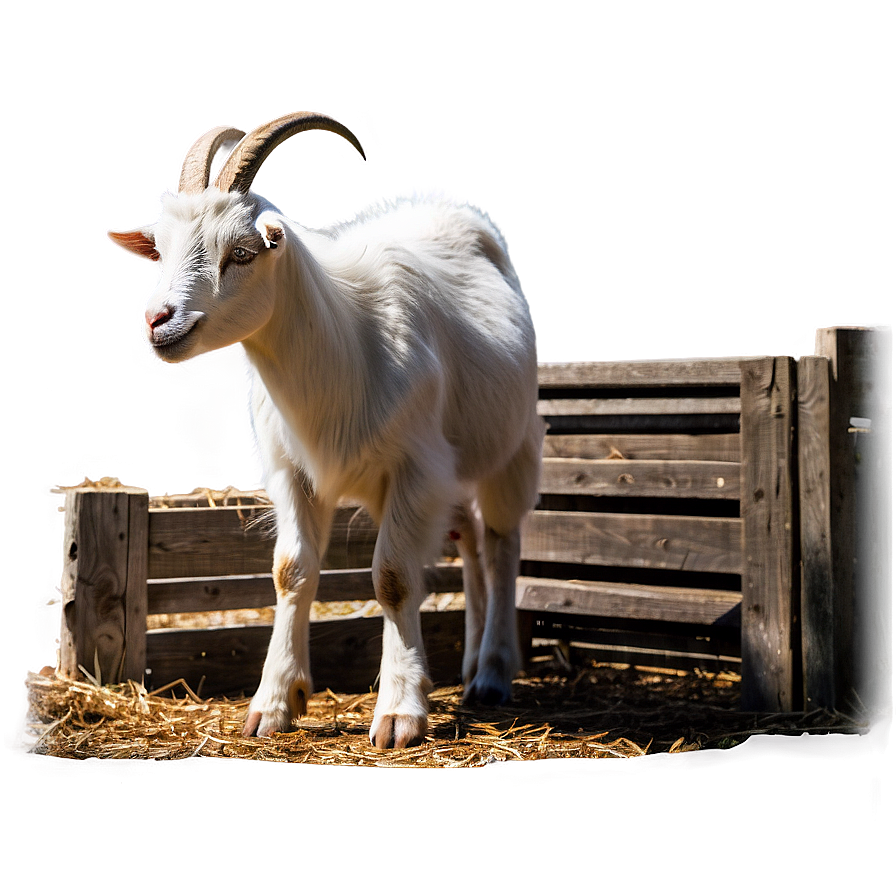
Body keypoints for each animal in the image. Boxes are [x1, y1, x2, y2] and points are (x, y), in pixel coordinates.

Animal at [107, 111, 543, 748]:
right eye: (159, 251)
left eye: (242, 252)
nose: (157, 320)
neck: (345, 344)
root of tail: (449, 208)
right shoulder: (293, 471)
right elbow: (291, 572)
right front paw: (273, 703)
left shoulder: (415, 467)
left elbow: (393, 579)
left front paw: (399, 714)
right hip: (449, 472)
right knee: (469, 541)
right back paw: (466, 670)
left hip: (512, 448)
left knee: (503, 543)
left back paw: (491, 673)